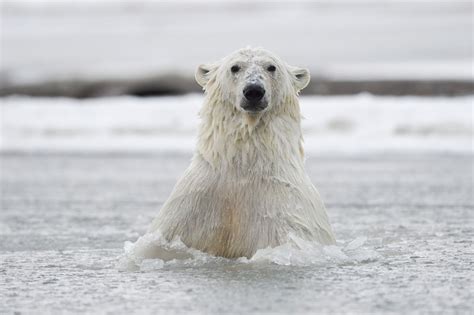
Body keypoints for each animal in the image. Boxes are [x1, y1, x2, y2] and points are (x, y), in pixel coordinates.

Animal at [149, 47, 336, 260]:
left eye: (271, 67)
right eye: (235, 67)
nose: (254, 91)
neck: (243, 166)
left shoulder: (283, 214)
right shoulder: (190, 211)